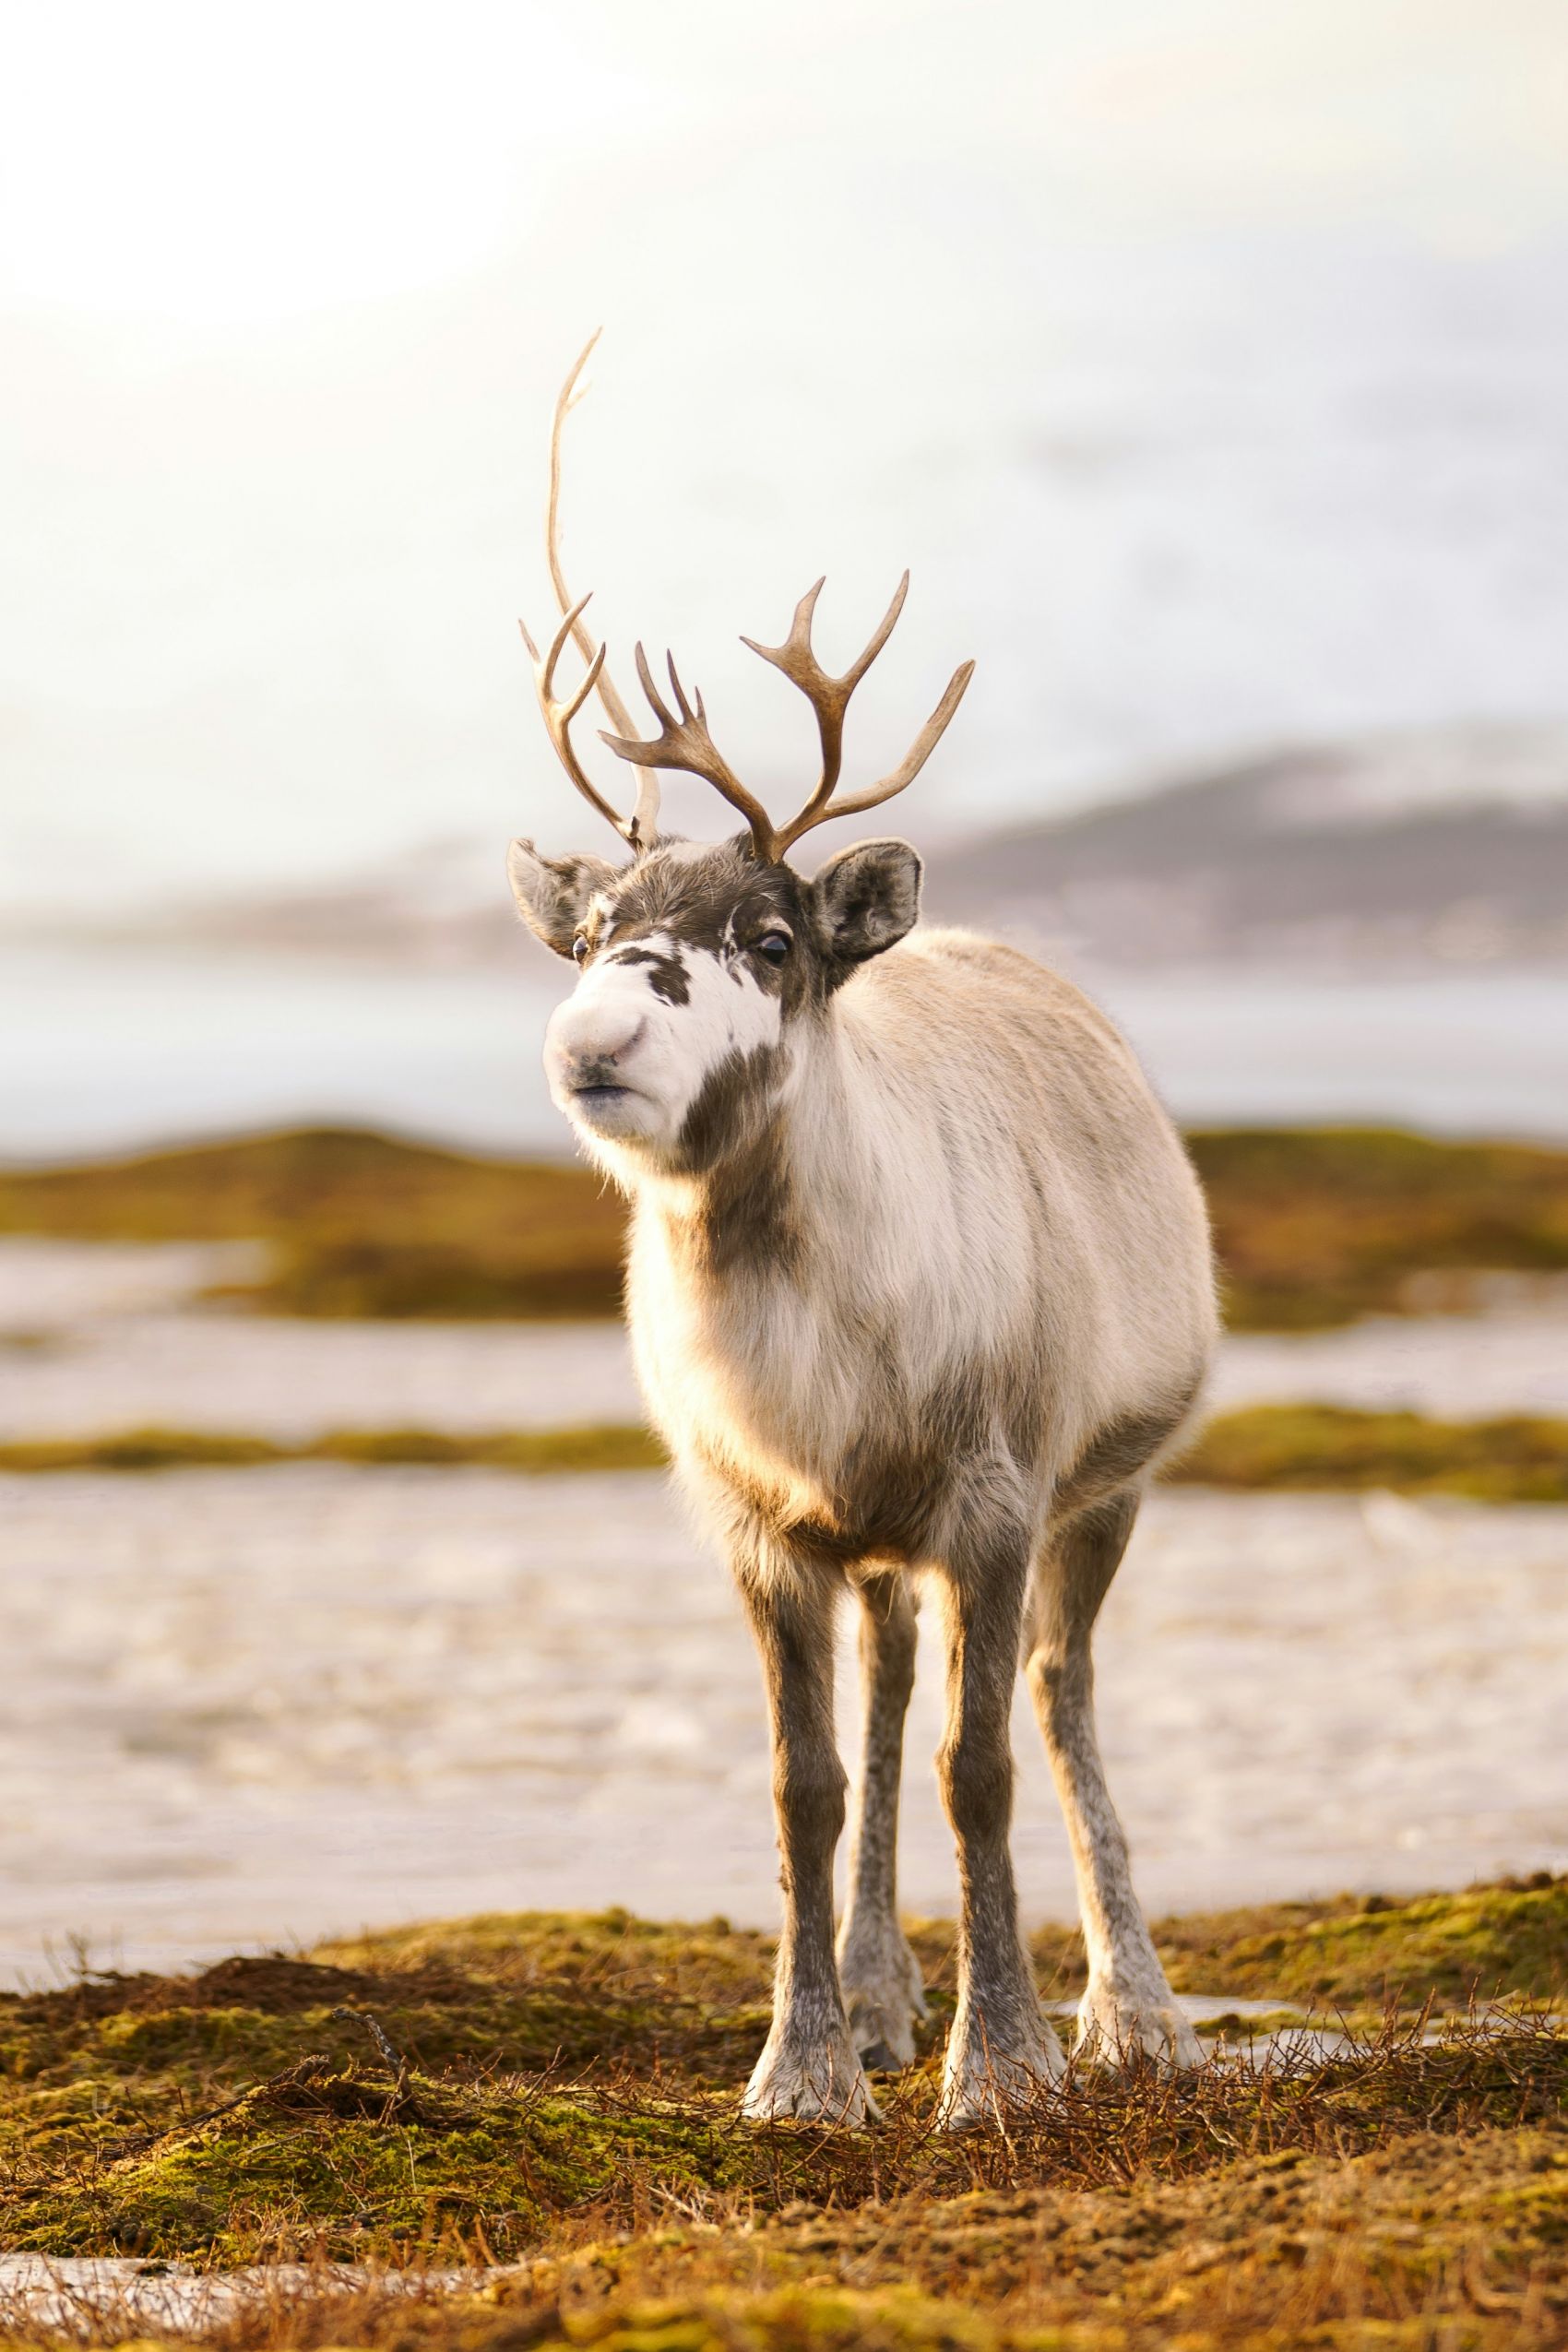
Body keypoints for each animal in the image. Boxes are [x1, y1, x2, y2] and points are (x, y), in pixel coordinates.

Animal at [506, 343, 1219, 2128]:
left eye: (770, 937)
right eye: (600, 930)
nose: (590, 1042)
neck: (804, 1342)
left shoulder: (995, 1489)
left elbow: (983, 1769)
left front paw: (1004, 2067)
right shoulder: (763, 1523)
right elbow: (806, 1782)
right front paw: (805, 2070)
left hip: (1105, 1489)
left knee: (1056, 1699)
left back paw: (1135, 2013)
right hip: (879, 1550)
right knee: (892, 1693)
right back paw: (893, 1997)